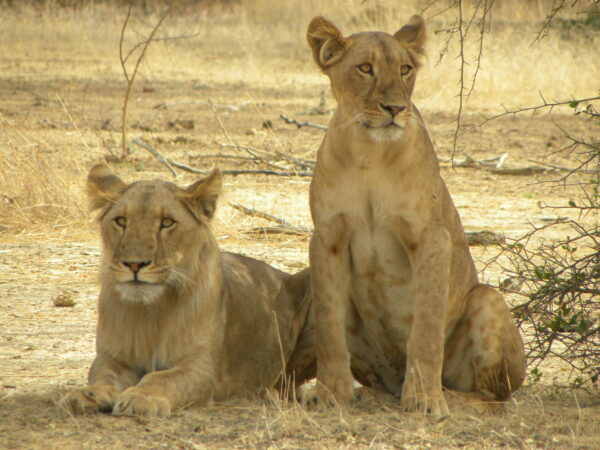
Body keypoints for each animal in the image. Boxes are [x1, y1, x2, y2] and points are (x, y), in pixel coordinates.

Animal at [58, 165, 316, 418]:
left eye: (167, 222)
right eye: (121, 221)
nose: (134, 264)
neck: (151, 311)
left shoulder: (201, 368)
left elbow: (161, 378)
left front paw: (141, 397)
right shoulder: (113, 357)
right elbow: (101, 373)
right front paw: (87, 394)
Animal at [304, 14, 524, 414]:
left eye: (405, 70)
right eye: (365, 68)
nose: (394, 108)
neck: (370, 154)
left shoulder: (431, 237)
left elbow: (426, 327)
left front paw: (424, 399)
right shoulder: (327, 237)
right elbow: (330, 329)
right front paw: (330, 393)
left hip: (487, 300)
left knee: (494, 398)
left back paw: (449, 397)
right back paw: (371, 393)